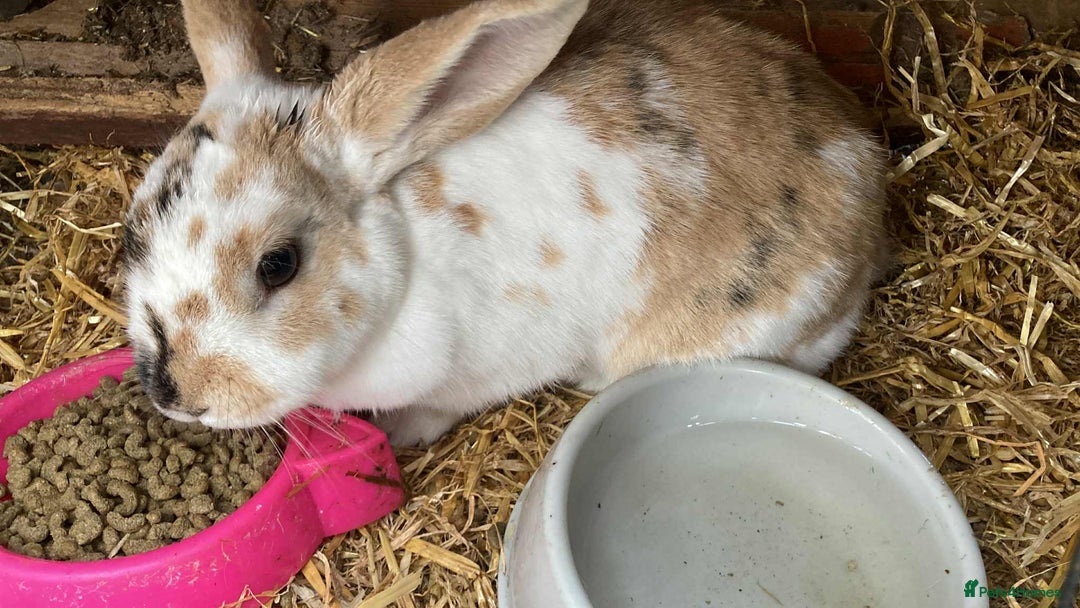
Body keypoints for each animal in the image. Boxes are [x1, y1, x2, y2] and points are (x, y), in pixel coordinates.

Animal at [120, 0, 888, 446]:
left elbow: (439, 408)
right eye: (131, 236)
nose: (176, 395)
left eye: (279, 264)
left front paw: (401, 435)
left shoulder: (483, 373)